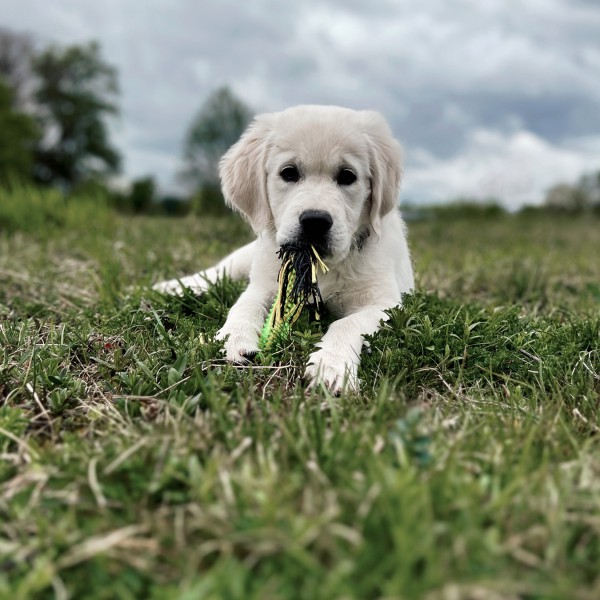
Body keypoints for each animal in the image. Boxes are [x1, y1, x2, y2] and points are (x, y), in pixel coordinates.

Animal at [154, 105, 414, 393]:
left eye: (348, 176)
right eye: (289, 172)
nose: (315, 221)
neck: (318, 265)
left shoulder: (385, 303)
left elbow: (348, 322)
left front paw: (331, 364)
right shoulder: (264, 283)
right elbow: (244, 305)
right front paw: (234, 338)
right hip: (246, 258)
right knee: (217, 272)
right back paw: (174, 287)